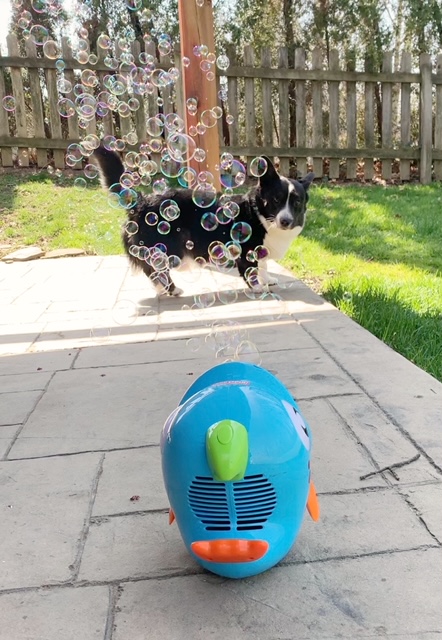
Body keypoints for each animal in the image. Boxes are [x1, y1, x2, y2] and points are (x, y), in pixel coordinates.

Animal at [93, 145, 314, 296]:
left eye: (297, 202)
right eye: (276, 199)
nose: (285, 221)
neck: (258, 213)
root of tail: (141, 201)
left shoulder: (261, 250)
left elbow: (264, 265)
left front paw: (268, 279)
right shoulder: (246, 249)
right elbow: (251, 269)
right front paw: (258, 287)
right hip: (167, 248)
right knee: (154, 269)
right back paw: (171, 290)